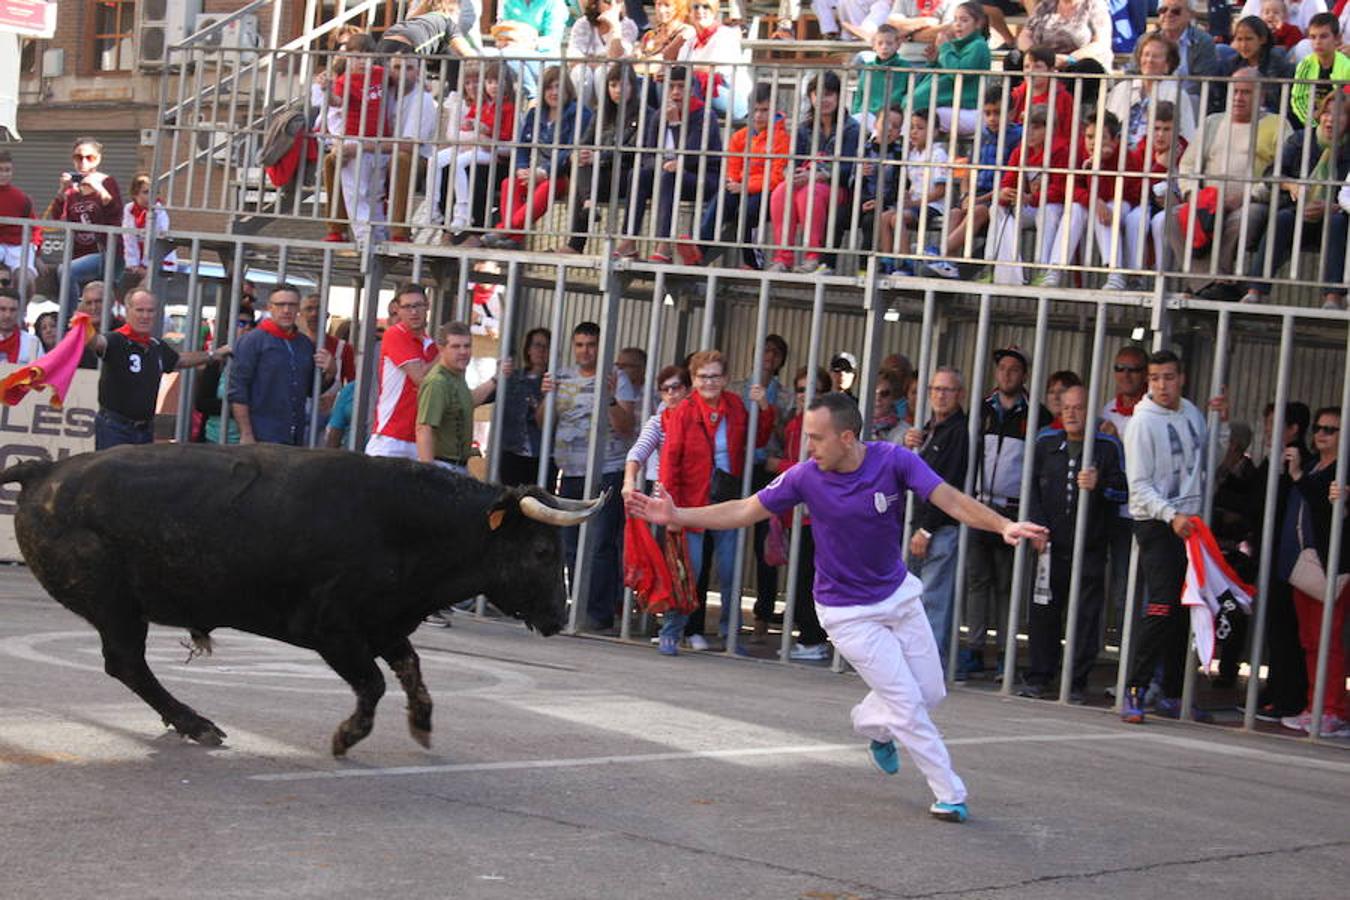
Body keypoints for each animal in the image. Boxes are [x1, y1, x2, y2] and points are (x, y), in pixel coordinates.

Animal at [0, 447, 602, 755]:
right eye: (543, 550)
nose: (556, 616)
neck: (407, 524)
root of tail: (44, 471)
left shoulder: (384, 624)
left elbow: (411, 669)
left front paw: (423, 723)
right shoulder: (331, 628)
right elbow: (374, 682)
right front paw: (346, 736)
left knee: (127, 665)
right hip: (116, 606)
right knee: (127, 663)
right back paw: (197, 723)